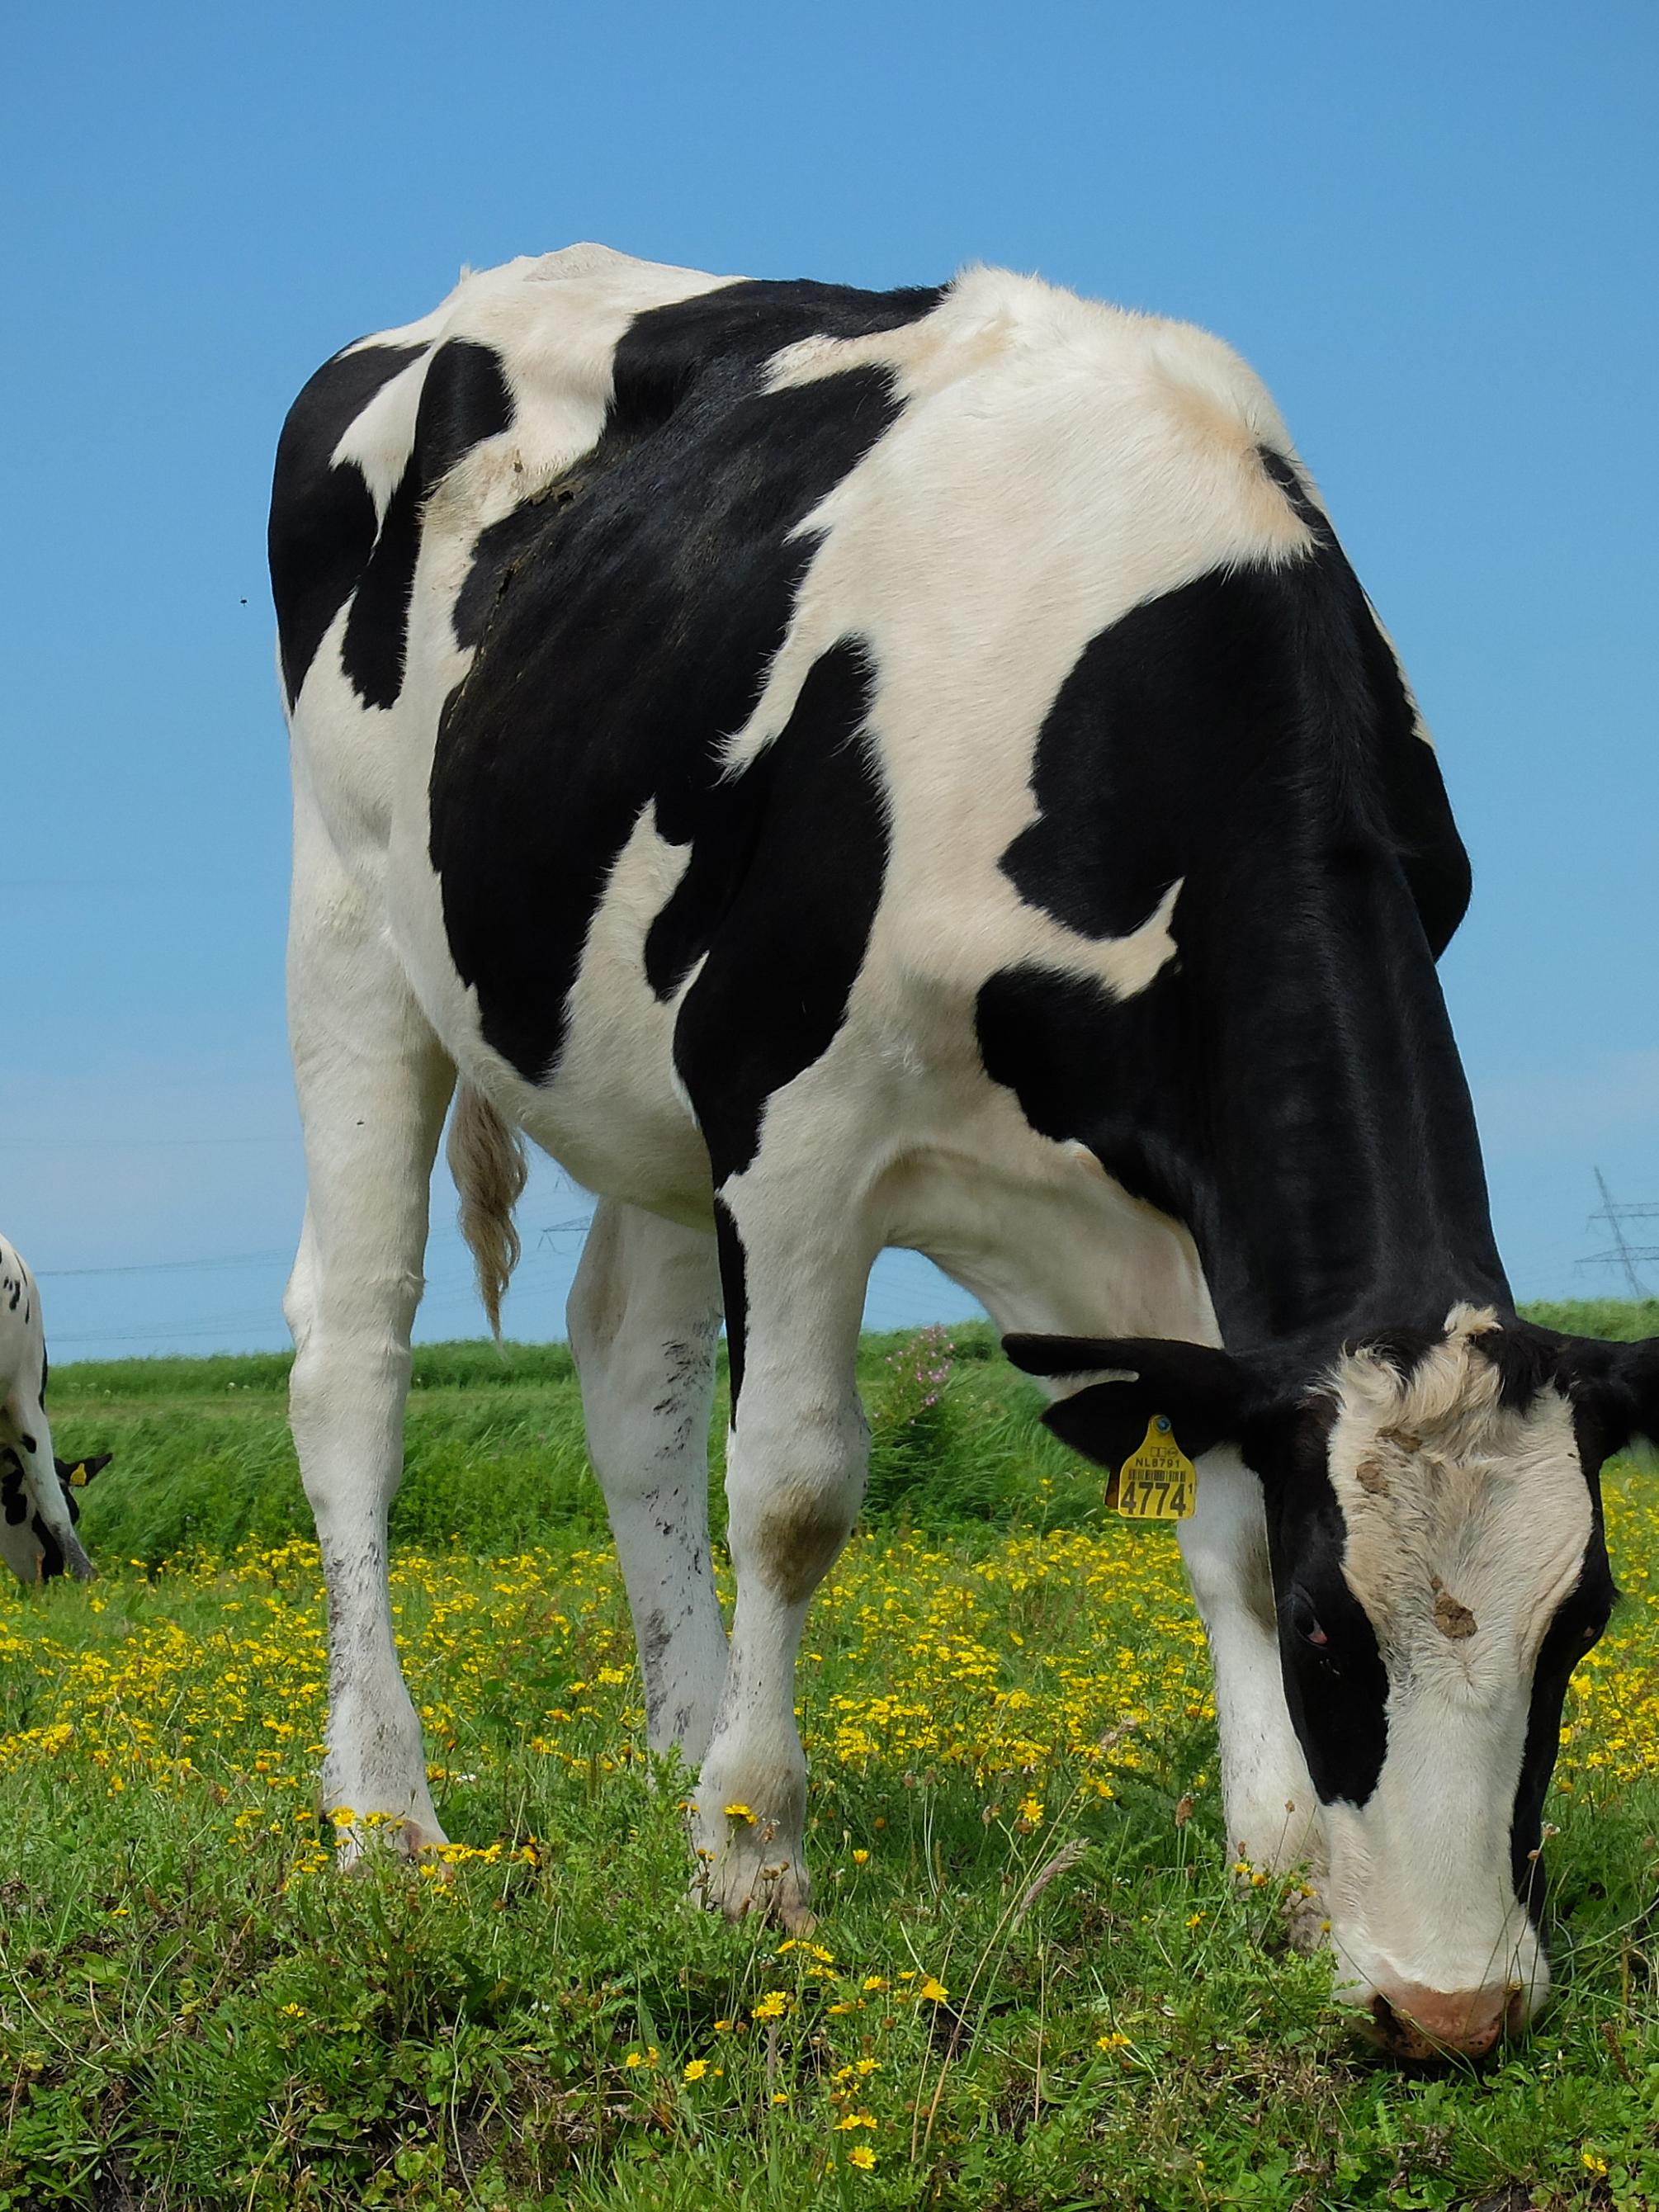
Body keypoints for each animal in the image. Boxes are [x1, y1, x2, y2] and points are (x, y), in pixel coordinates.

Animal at [269, 244, 1658, 2060]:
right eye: (1328, 1628)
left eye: (1587, 1625)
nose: (1452, 2006)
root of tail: (474, 285)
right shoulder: (786, 1115)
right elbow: (795, 1490)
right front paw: (756, 1864)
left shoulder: (1190, 1222)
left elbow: (1210, 1500)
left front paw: (1280, 1863)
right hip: (354, 926)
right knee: (353, 1356)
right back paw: (389, 1816)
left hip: (637, 1077)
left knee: (627, 1361)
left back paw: (680, 1745)